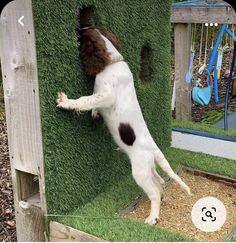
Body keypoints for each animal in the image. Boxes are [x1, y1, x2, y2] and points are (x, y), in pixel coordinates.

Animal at [57, 27, 192, 226]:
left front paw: (66, 102)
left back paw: (153, 217)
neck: (112, 63)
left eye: (82, 35)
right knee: (159, 183)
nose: (77, 29)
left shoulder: (106, 95)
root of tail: (152, 146)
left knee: (153, 192)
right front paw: (94, 113)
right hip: (147, 168)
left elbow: (85, 99)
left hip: (139, 172)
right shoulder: (101, 95)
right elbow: (92, 102)